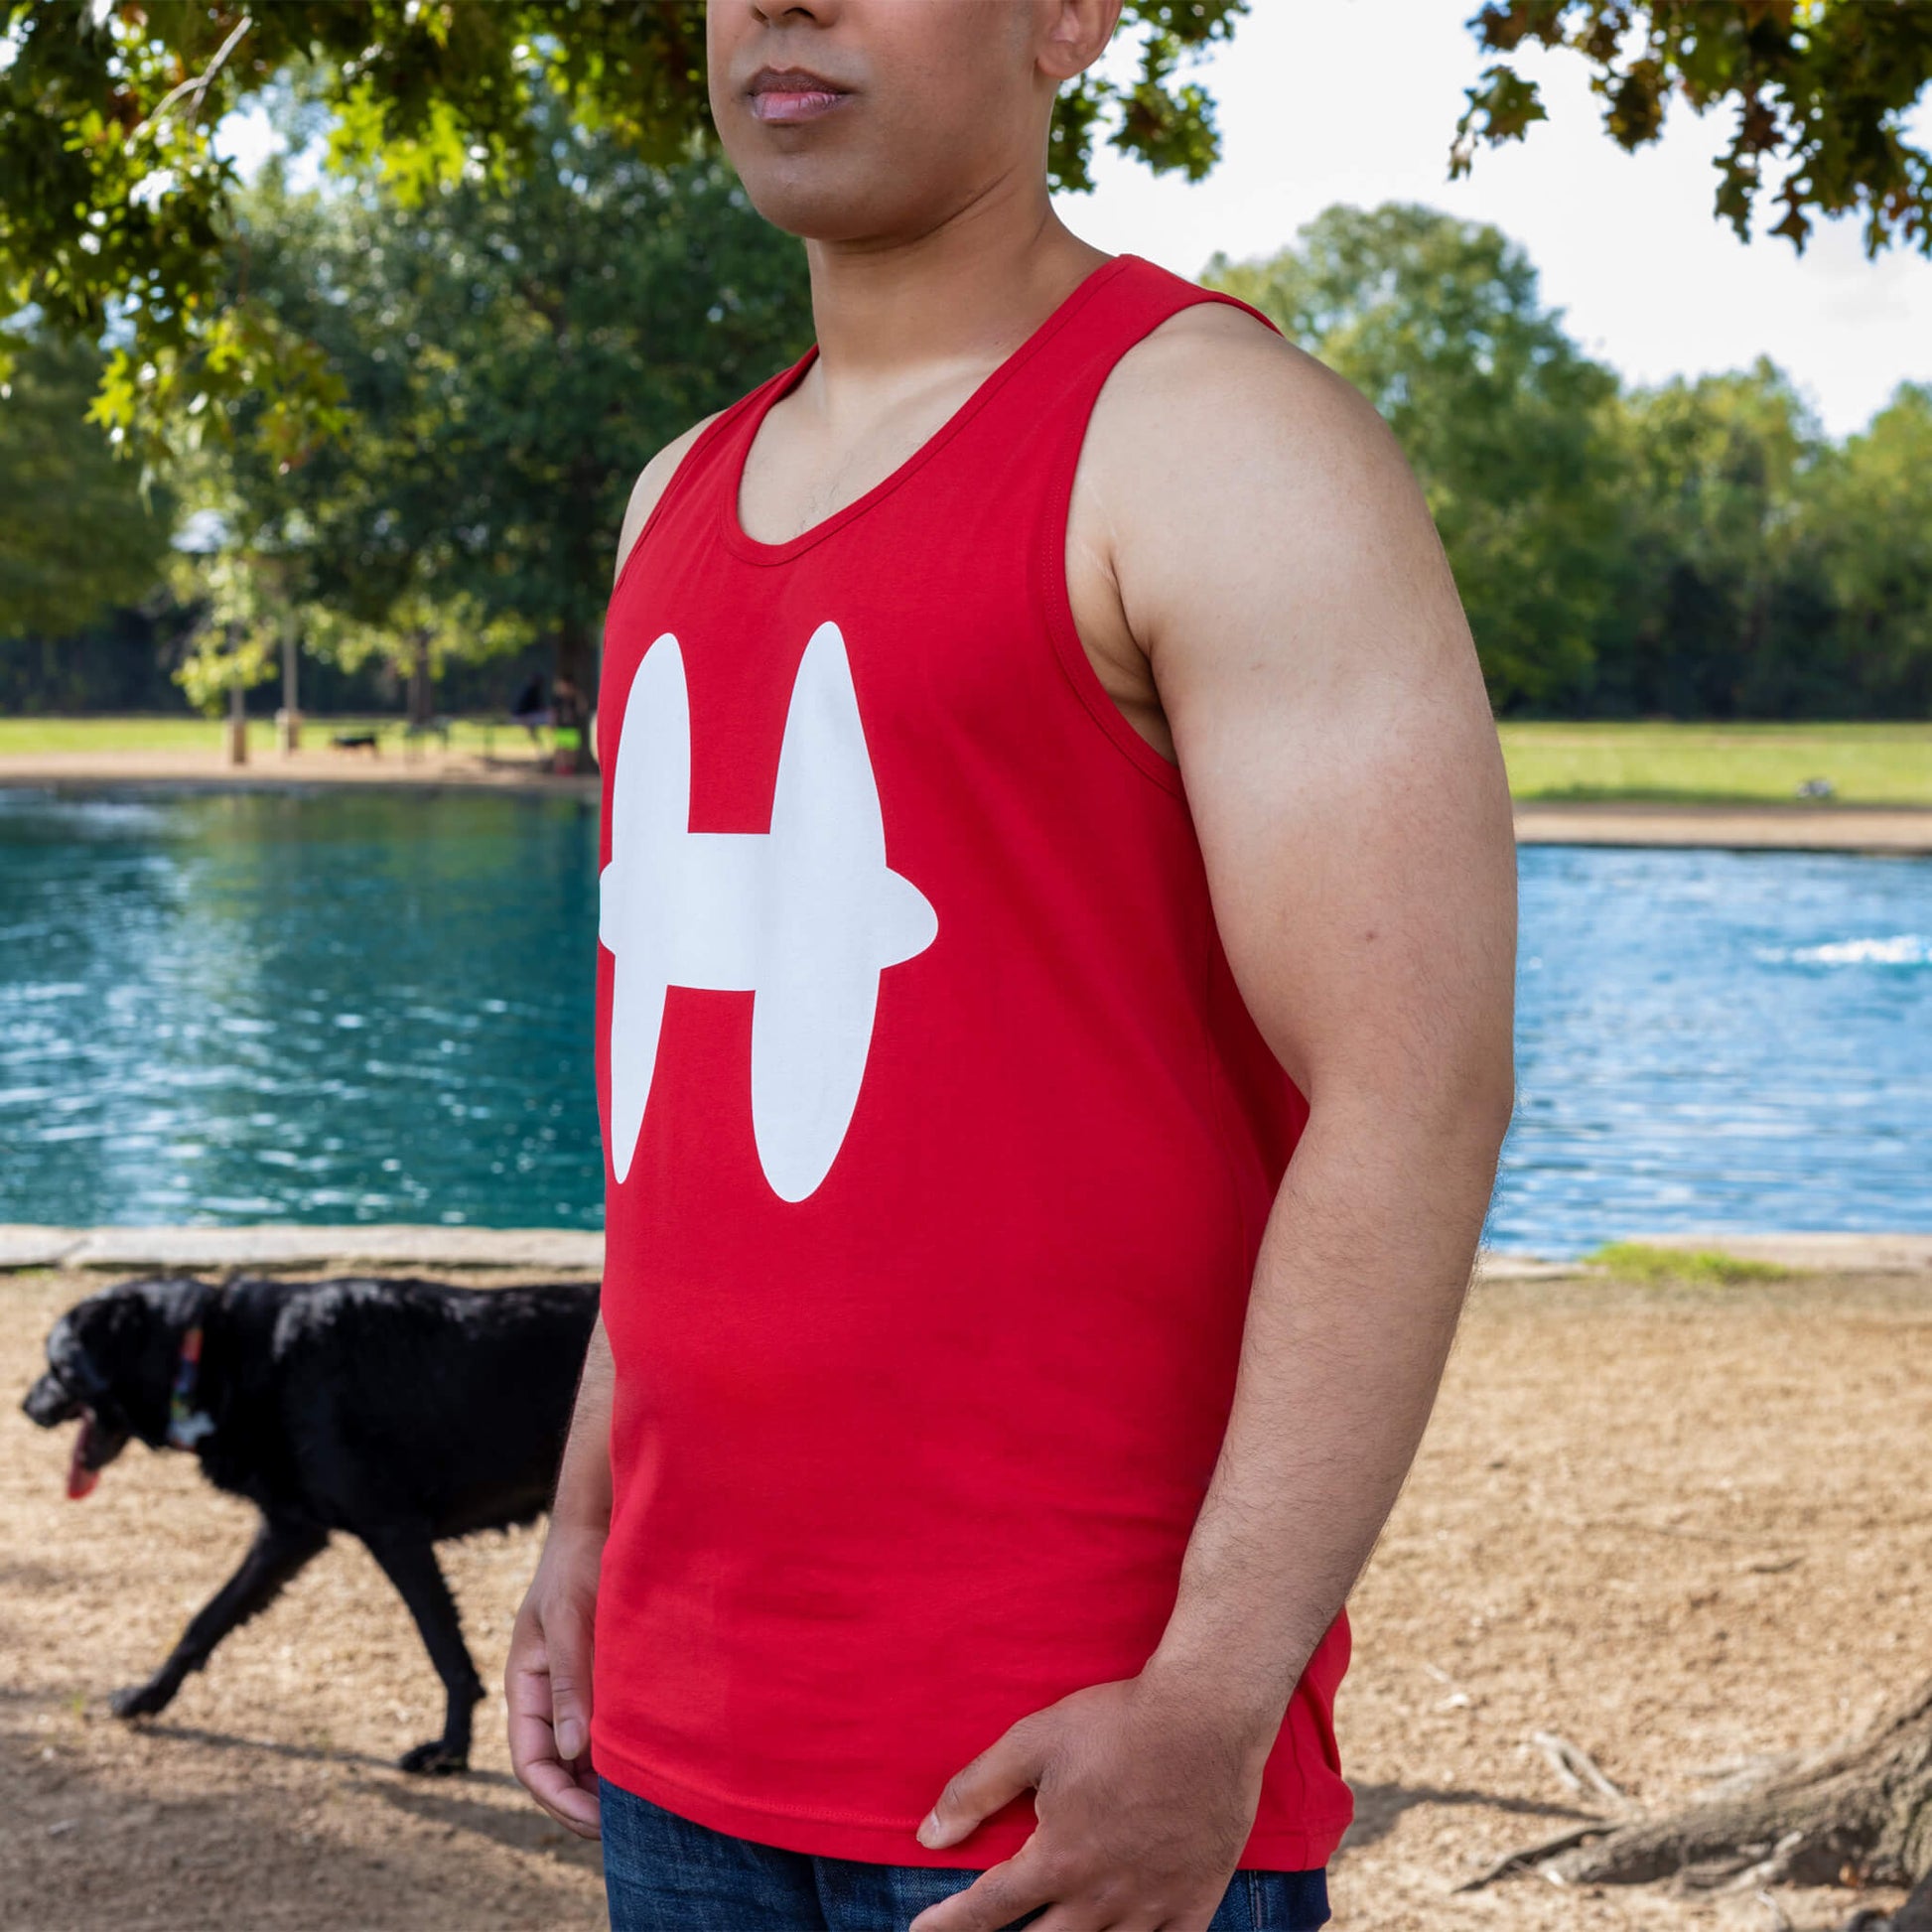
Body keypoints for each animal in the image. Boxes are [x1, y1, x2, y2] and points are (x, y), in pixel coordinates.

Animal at [22, 1275, 595, 1769]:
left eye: (57, 1366)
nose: (26, 1407)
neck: (213, 1354)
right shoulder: (290, 1532)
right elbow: (206, 1621)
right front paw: (147, 1698)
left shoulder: (393, 1532)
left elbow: (444, 1648)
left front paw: (449, 1754)